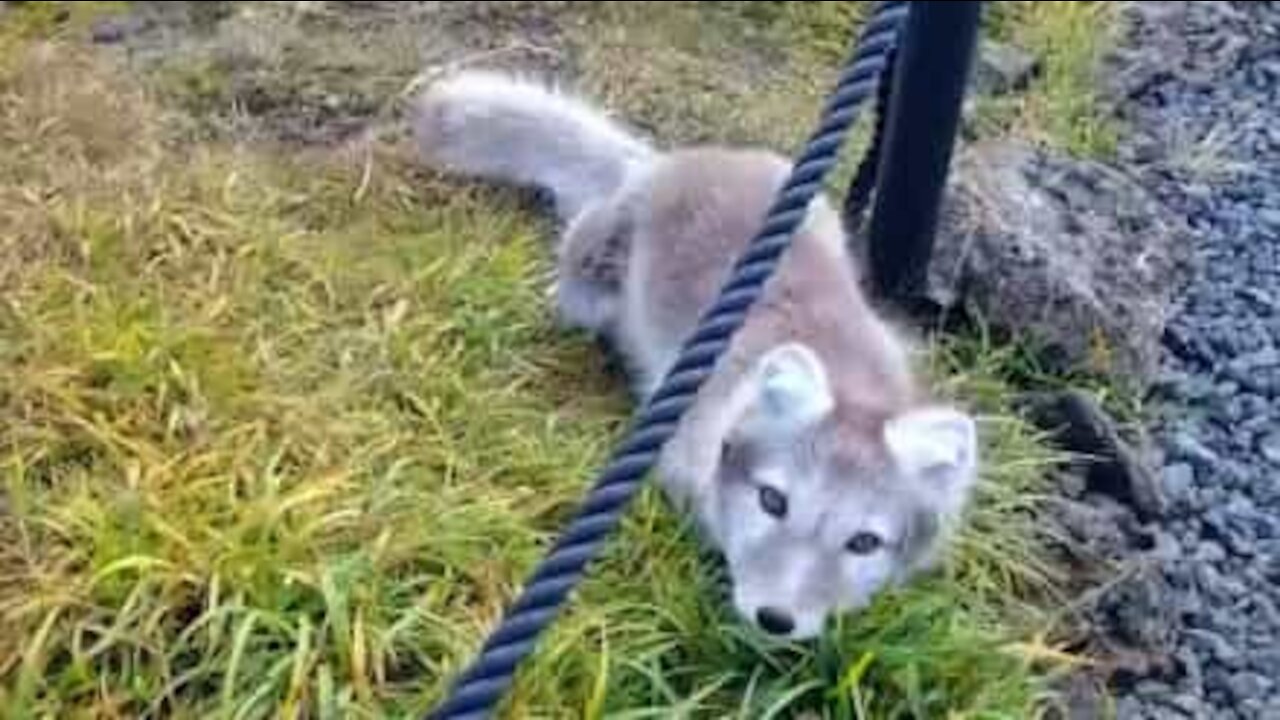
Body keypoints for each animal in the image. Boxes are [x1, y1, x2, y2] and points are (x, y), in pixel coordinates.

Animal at [412, 70, 977, 635]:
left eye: (864, 542)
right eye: (773, 501)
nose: (775, 619)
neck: (849, 379)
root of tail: (663, 164)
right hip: (588, 289)